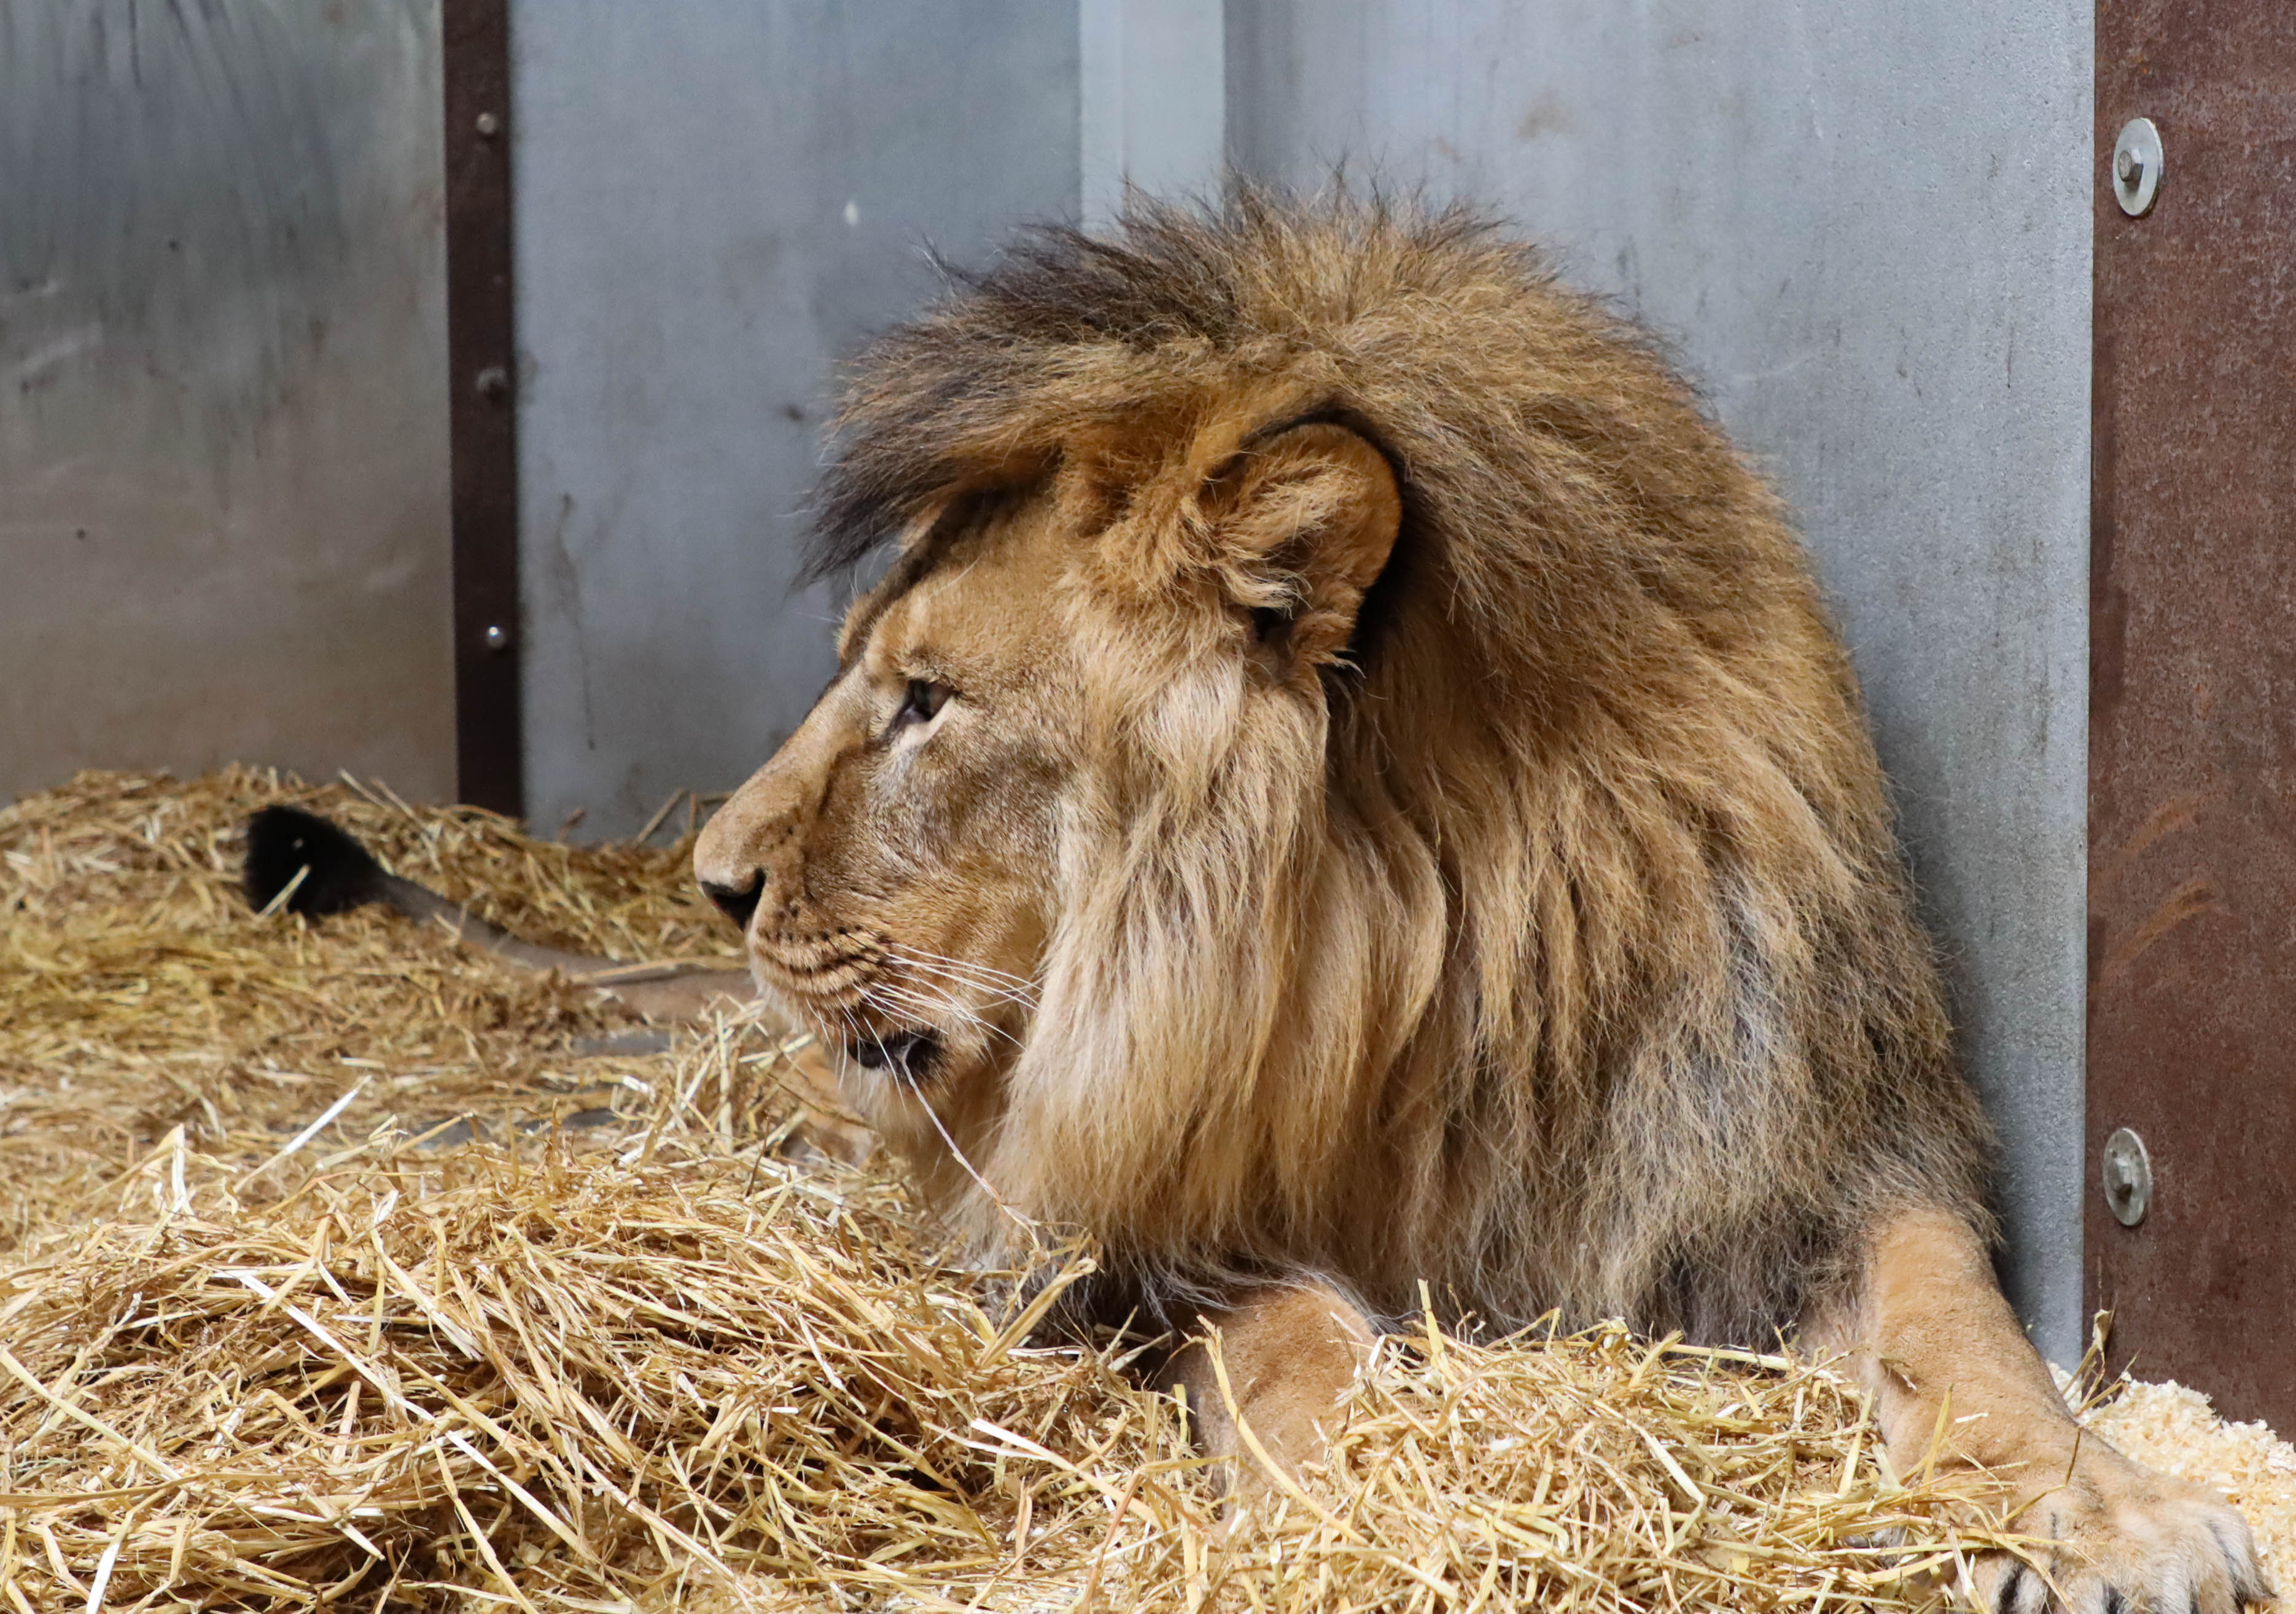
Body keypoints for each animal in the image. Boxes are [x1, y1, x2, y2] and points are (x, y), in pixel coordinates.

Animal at [689, 191, 2266, 1612]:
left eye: (927, 701)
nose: (715, 882)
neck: (1443, 1000)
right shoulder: (1131, 1255)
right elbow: (1289, 1334)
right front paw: (1387, 1503)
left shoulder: (1790, 1163)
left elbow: (1964, 1324)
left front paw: (2105, 1521)